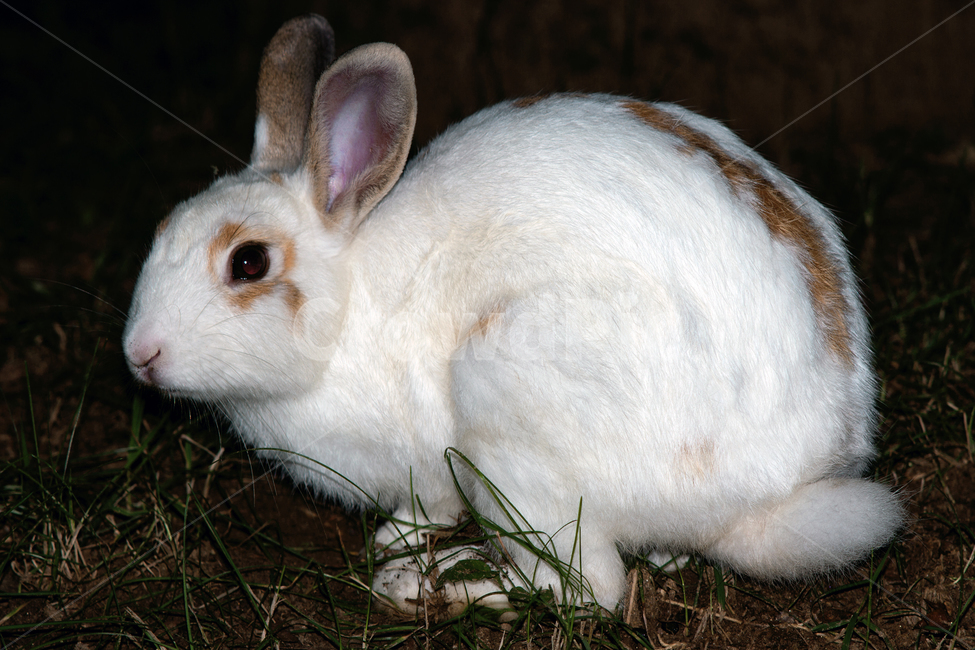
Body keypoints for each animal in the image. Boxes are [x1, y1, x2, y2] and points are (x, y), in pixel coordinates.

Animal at [123, 14, 904, 610]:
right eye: (161, 228)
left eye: (248, 263)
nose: (140, 356)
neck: (348, 308)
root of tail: (770, 495)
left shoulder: (429, 465)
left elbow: (427, 508)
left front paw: (398, 545)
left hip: (507, 426)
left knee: (591, 588)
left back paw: (433, 586)